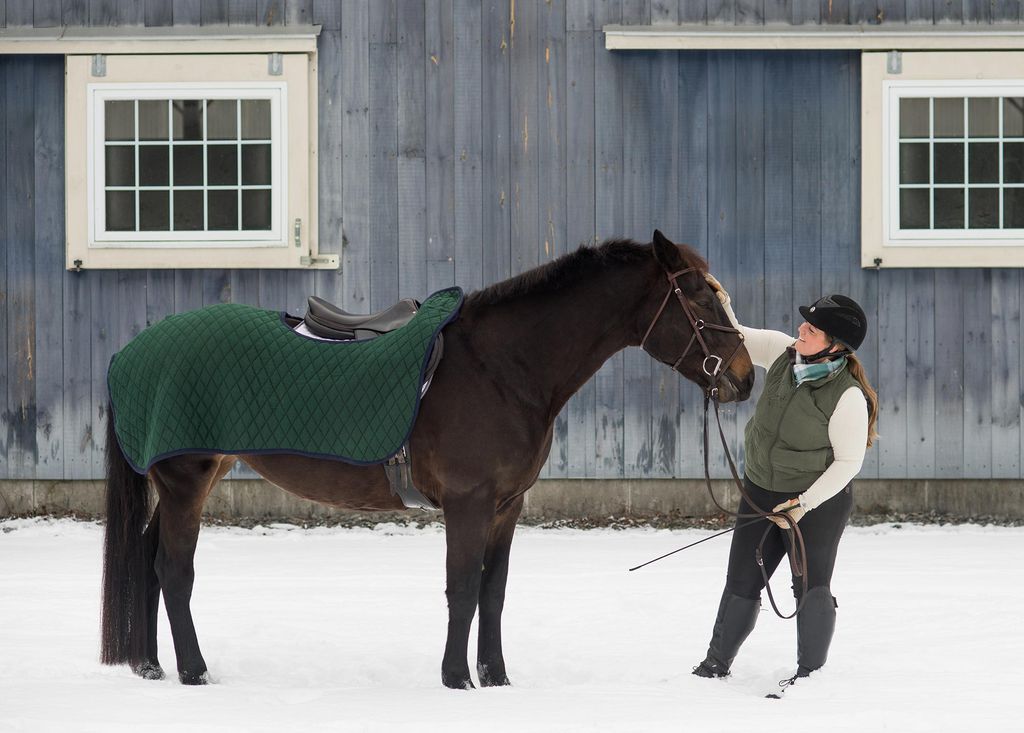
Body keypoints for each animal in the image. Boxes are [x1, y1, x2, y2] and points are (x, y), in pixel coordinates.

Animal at [101, 229, 753, 687]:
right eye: (699, 299)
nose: (745, 379)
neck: (502, 367)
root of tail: (134, 349)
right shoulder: (469, 504)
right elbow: (461, 589)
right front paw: (457, 680)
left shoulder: (506, 508)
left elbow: (493, 593)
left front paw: (497, 678)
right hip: (185, 482)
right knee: (173, 571)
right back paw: (193, 672)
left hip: (190, 479)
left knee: (149, 563)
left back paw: (151, 667)